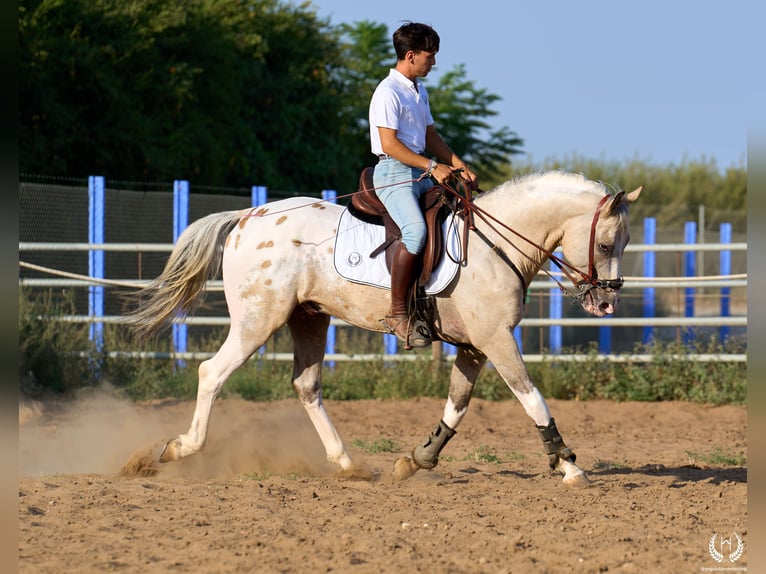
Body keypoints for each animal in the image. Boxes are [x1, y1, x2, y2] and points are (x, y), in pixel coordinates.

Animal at [128, 171, 642, 486]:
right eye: (605, 243)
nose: (606, 302)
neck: (493, 245)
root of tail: (247, 218)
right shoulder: (495, 340)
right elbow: (531, 397)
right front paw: (569, 466)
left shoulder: (474, 346)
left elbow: (457, 404)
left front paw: (418, 460)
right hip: (258, 320)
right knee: (212, 373)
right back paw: (177, 449)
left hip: (308, 318)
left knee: (306, 385)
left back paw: (347, 464)